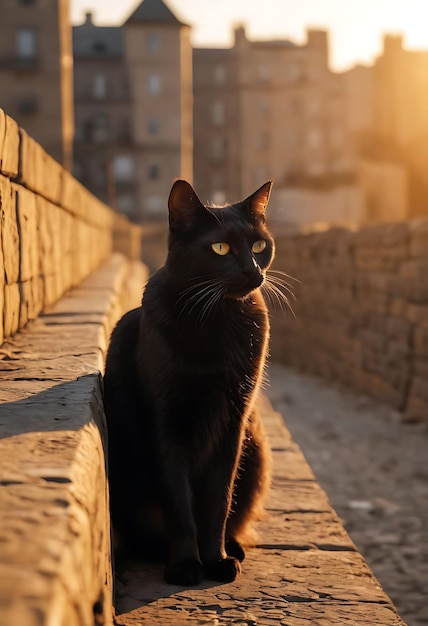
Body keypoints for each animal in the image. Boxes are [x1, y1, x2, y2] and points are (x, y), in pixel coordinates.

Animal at [103, 177, 280, 584]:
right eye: (220, 248)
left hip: (257, 446)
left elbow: (219, 501)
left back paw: (233, 546)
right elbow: (179, 505)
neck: (215, 316)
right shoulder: (165, 424)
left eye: (259, 246)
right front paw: (185, 564)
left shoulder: (233, 423)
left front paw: (215, 560)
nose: (252, 272)